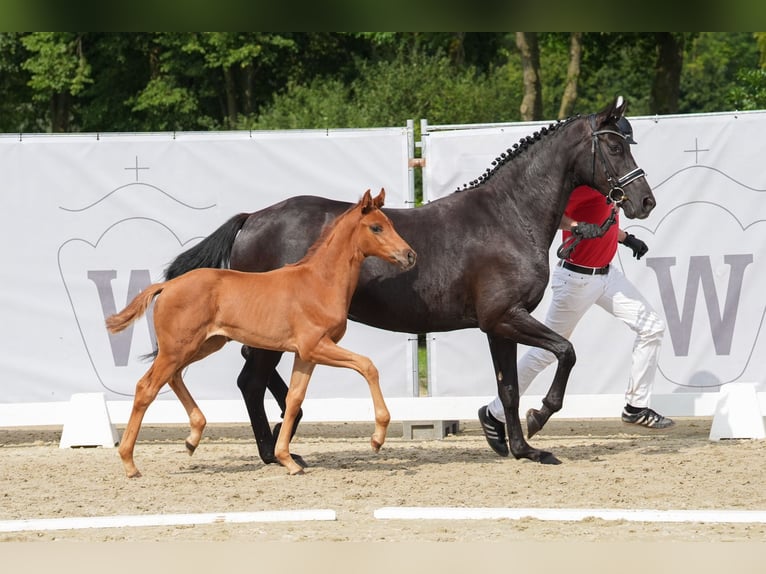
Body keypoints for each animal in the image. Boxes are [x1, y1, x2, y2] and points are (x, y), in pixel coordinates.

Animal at [106, 191, 414, 480]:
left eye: (390, 224)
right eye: (376, 227)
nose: (410, 255)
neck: (319, 282)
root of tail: (167, 286)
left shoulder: (306, 354)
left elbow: (294, 400)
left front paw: (288, 461)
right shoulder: (315, 346)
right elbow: (367, 366)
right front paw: (377, 439)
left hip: (202, 345)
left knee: (174, 377)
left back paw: (193, 437)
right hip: (178, 348)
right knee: (146, 388)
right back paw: (130, 463)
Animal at [166, 95, 656, 468]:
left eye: (630, 143)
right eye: (614, 147)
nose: (644, 201)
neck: (509, 216)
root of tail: (252, 219)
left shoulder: (498, 325)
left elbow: (510, 387)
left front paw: (518, 447)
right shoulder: (505, 317)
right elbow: (565, 354)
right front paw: (540, 420)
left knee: (255, 376)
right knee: (250, 380)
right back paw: (276, 453)